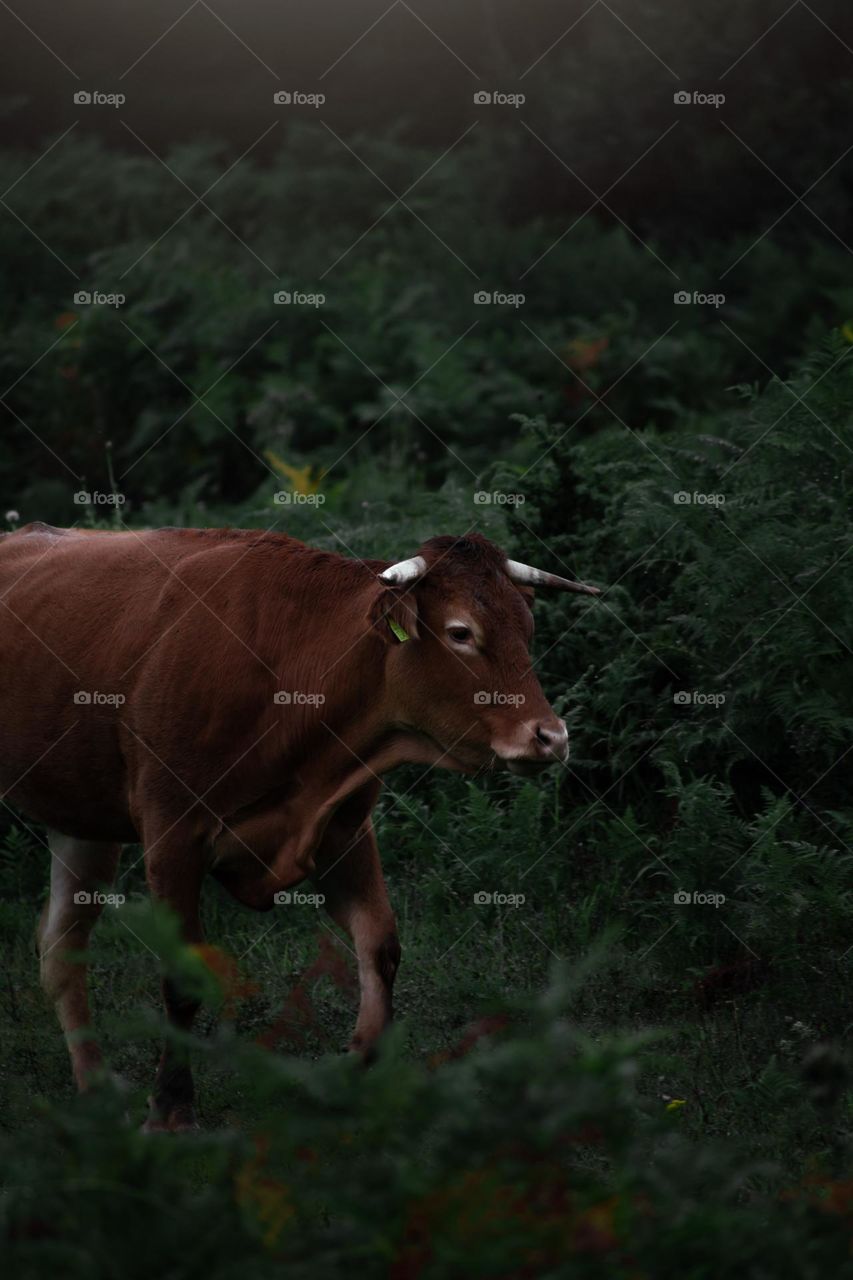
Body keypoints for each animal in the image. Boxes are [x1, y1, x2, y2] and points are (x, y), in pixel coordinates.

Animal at [0, 523, 598, 1130]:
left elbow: (380, 945)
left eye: (527, 630)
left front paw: (359, 1073)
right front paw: (171, 1109)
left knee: (61, 949)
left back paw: (96, 1090)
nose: (550, 736)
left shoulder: (344, 827)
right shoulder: (172, 832)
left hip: (81, 819)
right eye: (460, 632)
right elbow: (183, 980)